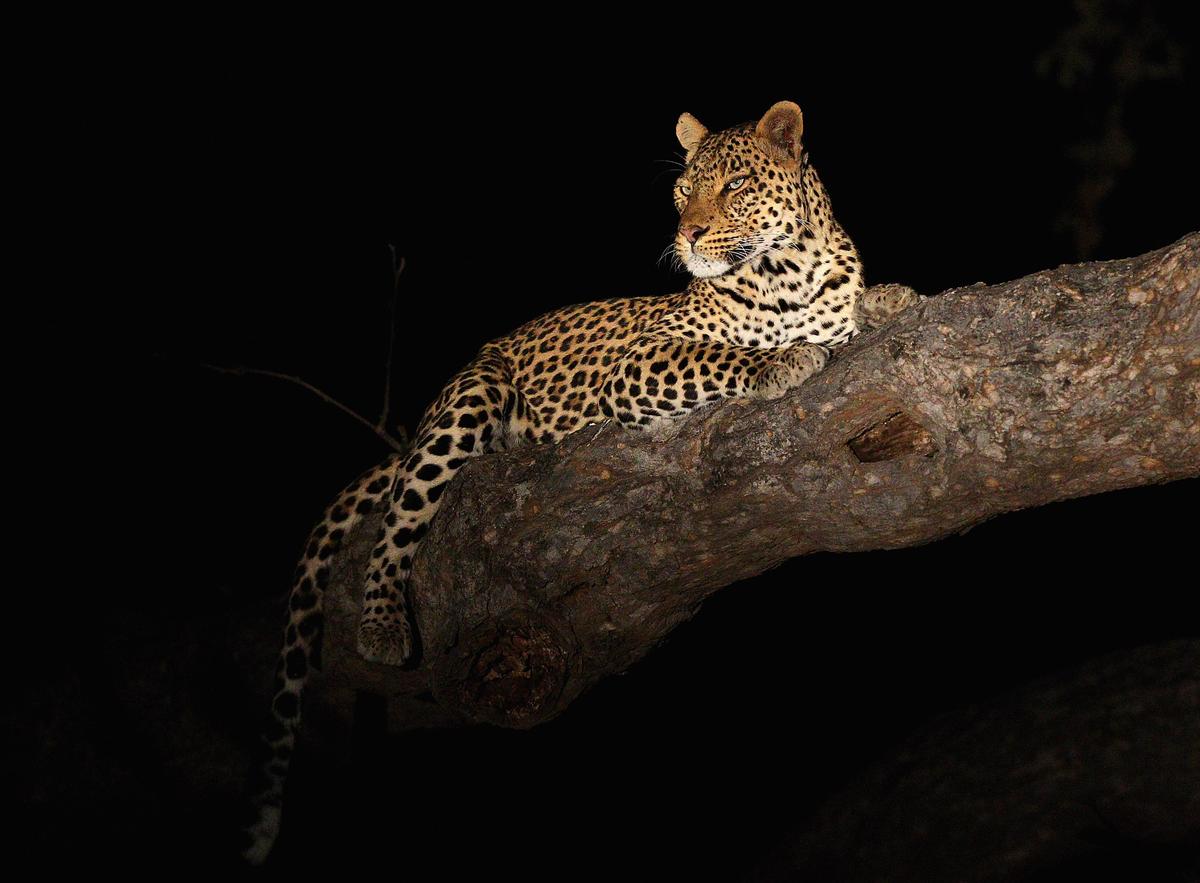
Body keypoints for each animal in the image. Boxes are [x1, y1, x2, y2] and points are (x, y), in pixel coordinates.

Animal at [242, 100, 920, 864]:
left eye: (736, 186)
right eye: (683, 192)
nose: (687, 237)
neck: (791, 272)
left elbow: (847, 316)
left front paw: (888, 299)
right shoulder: (638, 364)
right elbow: (724, 354)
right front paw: (783, 360)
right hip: (472, 397)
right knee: (401, 513)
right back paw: (384, 619)